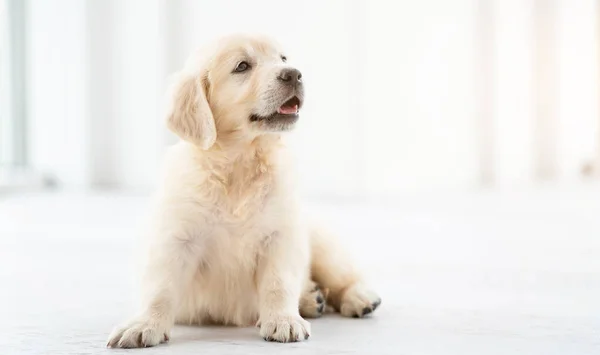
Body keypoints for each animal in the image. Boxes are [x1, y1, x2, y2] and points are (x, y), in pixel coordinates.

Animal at [107, 33, 380, 348]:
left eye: (283, 58)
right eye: (242, 66)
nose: (294, 74)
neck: (239, 163)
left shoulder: (281, 234)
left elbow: (278, 283)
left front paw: (283, 320)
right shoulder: (176, 237)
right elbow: (160, 288)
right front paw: (143, 324)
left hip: (322, 244)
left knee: (343, 278)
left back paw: (357, 298)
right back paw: (313, 300)